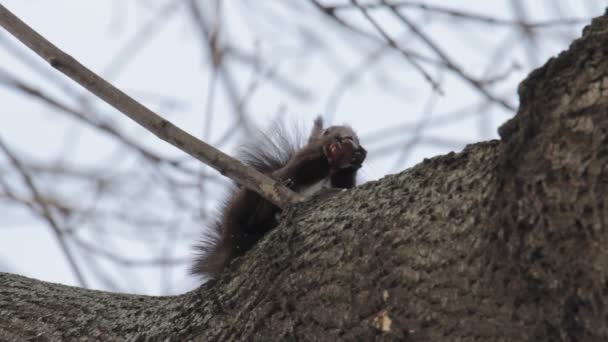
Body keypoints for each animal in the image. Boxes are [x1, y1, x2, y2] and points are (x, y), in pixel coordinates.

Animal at [191, 117, 366, 278]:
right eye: (331, 132)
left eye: (354, 138)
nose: (344, 139)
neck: (331, 168)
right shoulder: (302, 161)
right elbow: (299, 169)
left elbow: (345, 187)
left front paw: (358, 158)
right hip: (248, 201)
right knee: (253, 219)